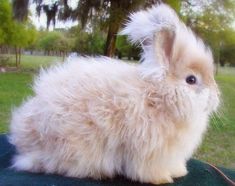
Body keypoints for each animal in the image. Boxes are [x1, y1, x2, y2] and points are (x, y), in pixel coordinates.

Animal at [8, 3, 219, 185]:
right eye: (191, 80)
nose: (215, 97)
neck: (158, 97)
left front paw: (179, 172)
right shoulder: (150, 152)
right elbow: (149, 170)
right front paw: (162, 179)